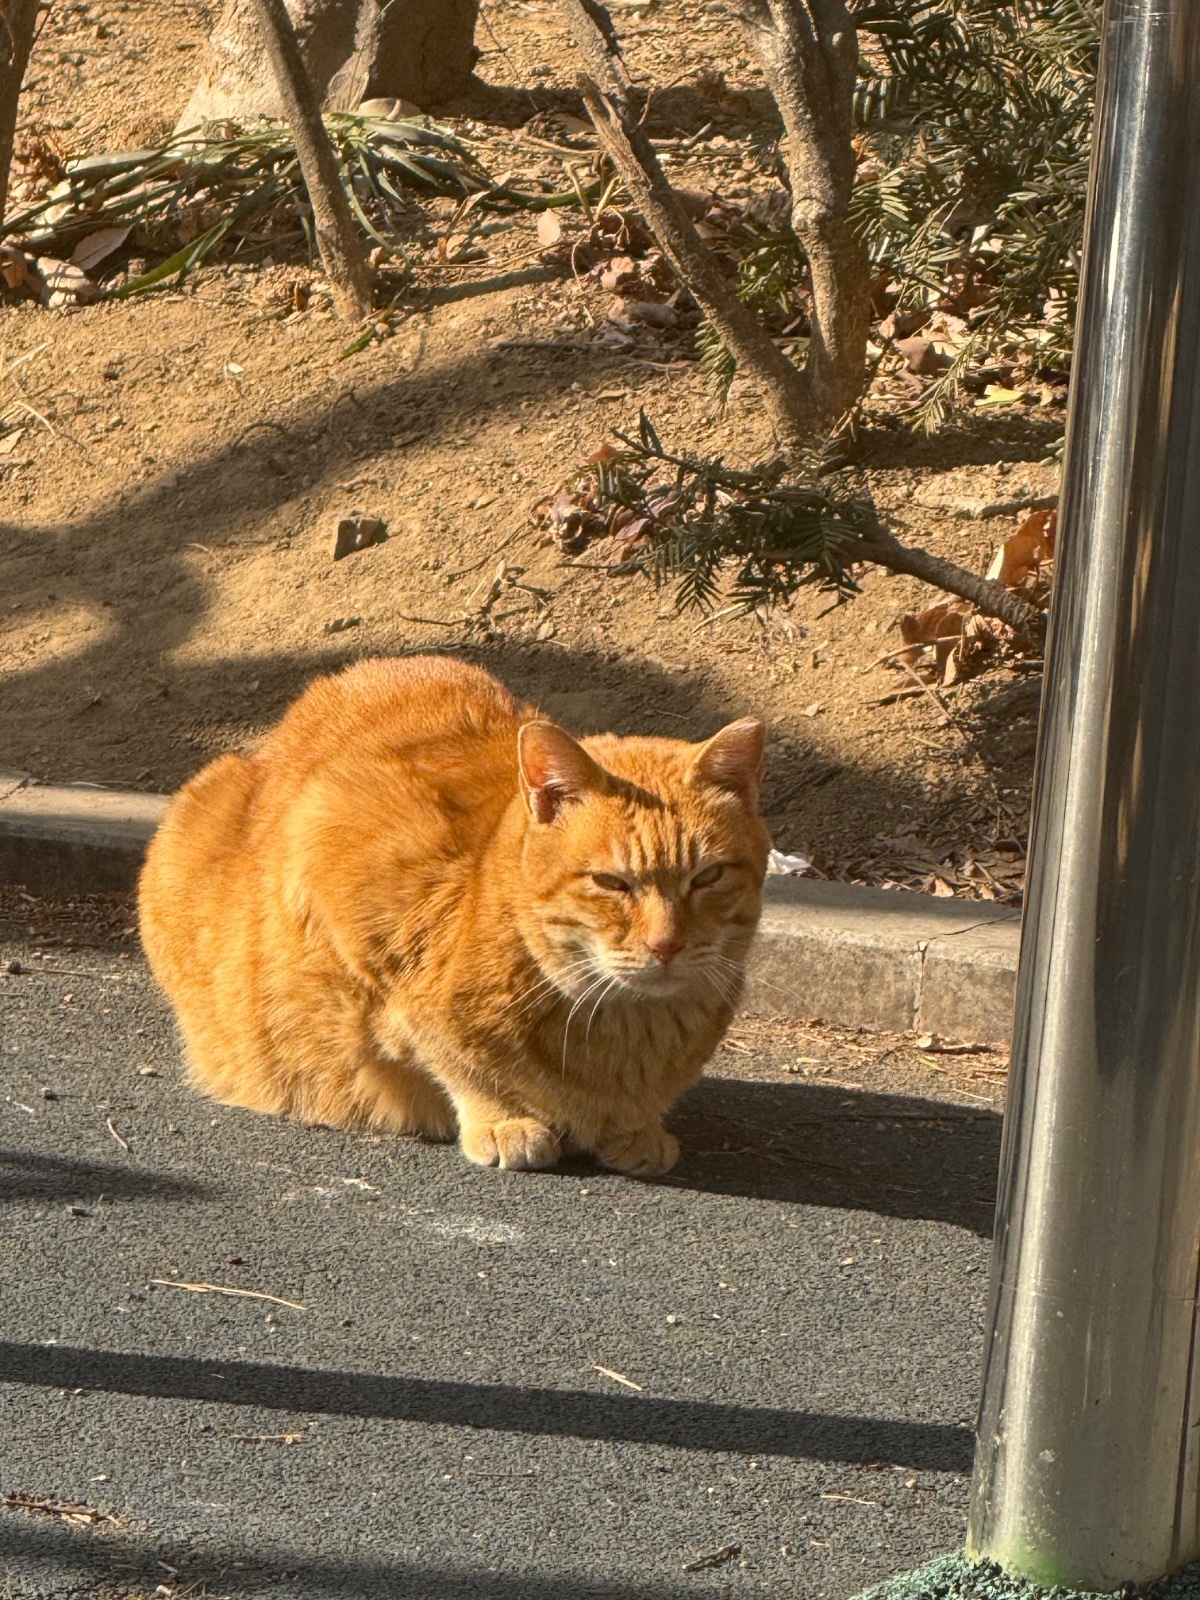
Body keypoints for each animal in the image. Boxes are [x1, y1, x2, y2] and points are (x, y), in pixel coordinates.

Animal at [138, 652, 771, 1177]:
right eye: (611, 883)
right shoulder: (335, 842)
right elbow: (444, 1049)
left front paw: (637, 1127)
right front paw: (500, 1116)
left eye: (708, 876)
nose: (666, 945)